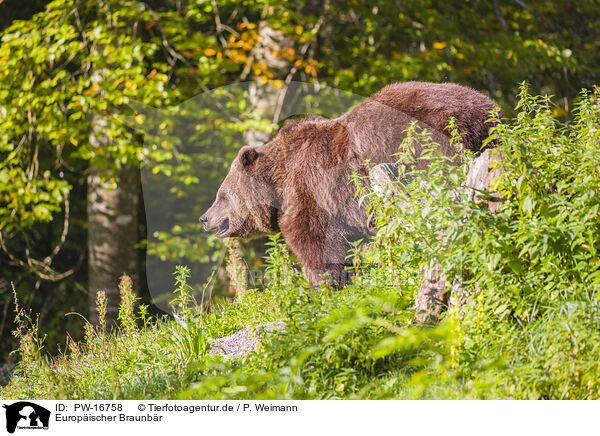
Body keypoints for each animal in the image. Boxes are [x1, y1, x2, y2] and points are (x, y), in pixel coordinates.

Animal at [199, 82, 500, 286]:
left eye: (221, 195)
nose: (204, 218)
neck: (278, 185)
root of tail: (482, 110)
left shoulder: (312, 193)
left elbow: (317, 245)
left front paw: (326, 286)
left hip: (425, 146)